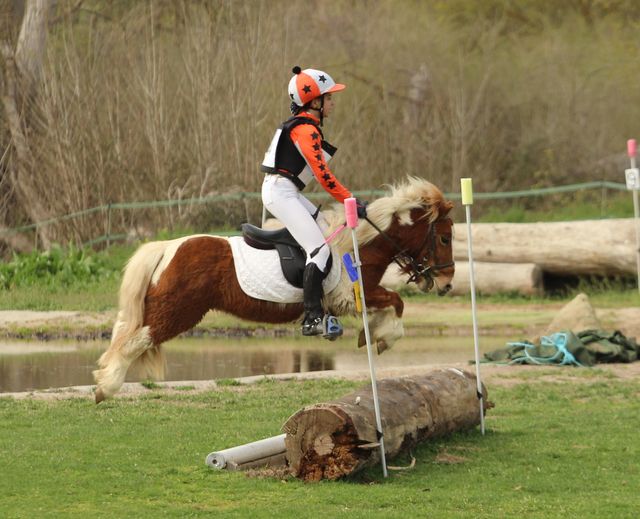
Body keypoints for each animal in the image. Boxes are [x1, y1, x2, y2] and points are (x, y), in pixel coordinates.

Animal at [93, 177, 455, 403]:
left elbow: (393, 303)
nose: (447, 283)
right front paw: (382, 337)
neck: (359, 243)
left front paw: (375, 334)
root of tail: (169, 247)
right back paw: (106, 387)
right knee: (134, 340)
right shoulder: (351, 295)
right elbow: (396, 302)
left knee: (125, 332)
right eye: (444, 238)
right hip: (178, 312)